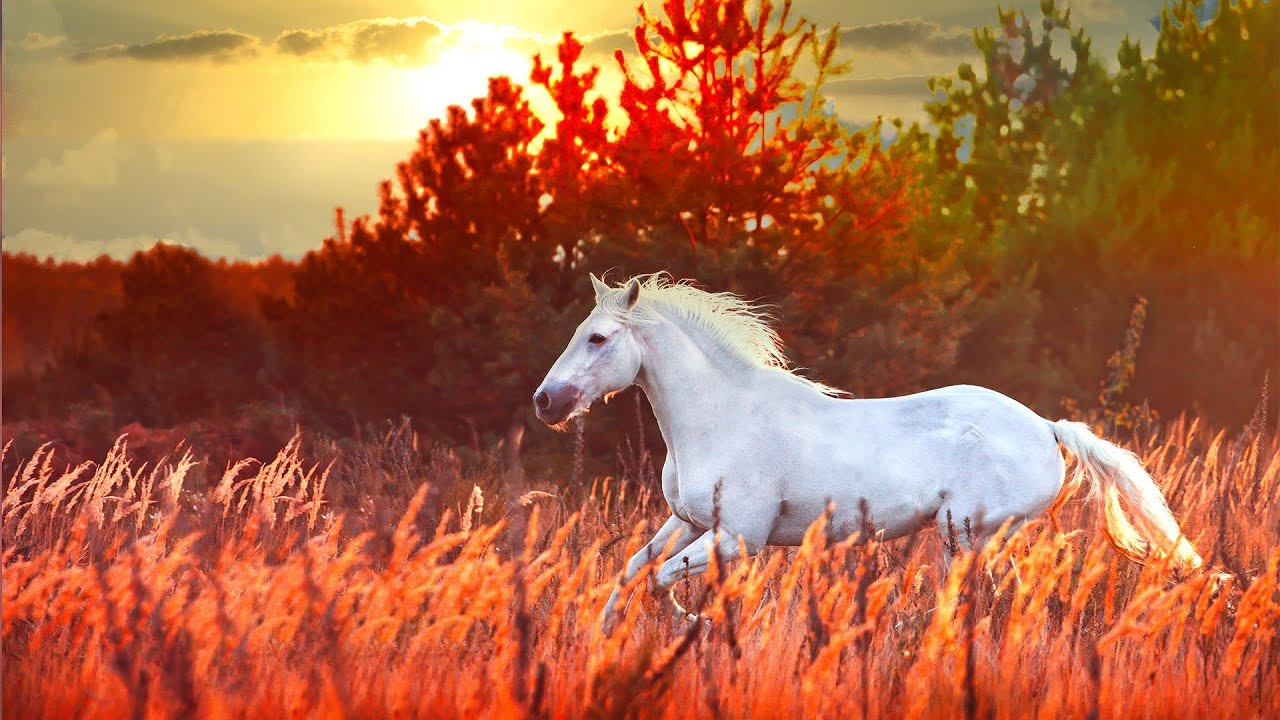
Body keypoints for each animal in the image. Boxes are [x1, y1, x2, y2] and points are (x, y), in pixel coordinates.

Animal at [532, 272, 1202, 624]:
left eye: (597, 338)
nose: (546, 402)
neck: (720, 417)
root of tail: (1044, 426)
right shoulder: (688, 520)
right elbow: (633, 570)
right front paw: (607, 636)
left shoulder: (738, 537)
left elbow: (663, 578)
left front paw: (694, 623)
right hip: (970, 540)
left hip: (968, 533)